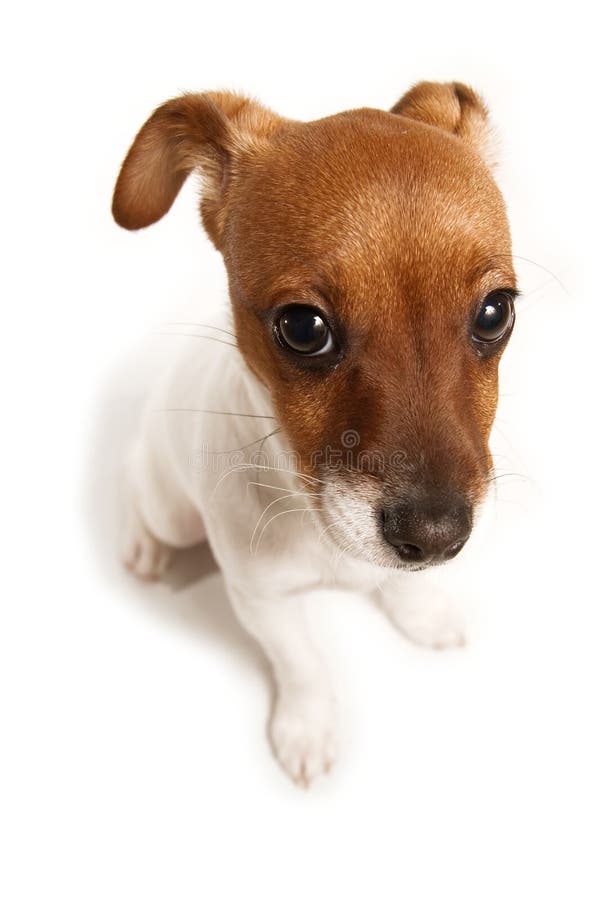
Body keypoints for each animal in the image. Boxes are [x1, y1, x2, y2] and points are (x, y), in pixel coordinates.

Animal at [114, 84, 520, 788]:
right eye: (303, 328)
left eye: (496, 314)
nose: (437, 537)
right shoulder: (262, 602)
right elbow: (302, 665)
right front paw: (306, 728)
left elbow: (403, 585)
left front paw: (422, 612)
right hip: (170, 507)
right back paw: (144, 544)